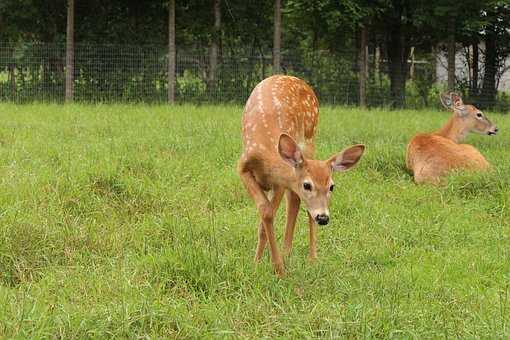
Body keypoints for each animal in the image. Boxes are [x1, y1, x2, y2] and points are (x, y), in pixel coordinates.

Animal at [237, 75, 364, 276]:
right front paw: (257, 264)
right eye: (307, 185)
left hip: (310, 139)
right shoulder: (243, 167)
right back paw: (287, 253)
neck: (266, 153)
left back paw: (309, 258)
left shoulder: (279, 182)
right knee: (295, 201)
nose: (323, 218)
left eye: (332, 186)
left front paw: (279, 268)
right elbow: (265, 214)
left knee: (299, 204)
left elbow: (268, 214)